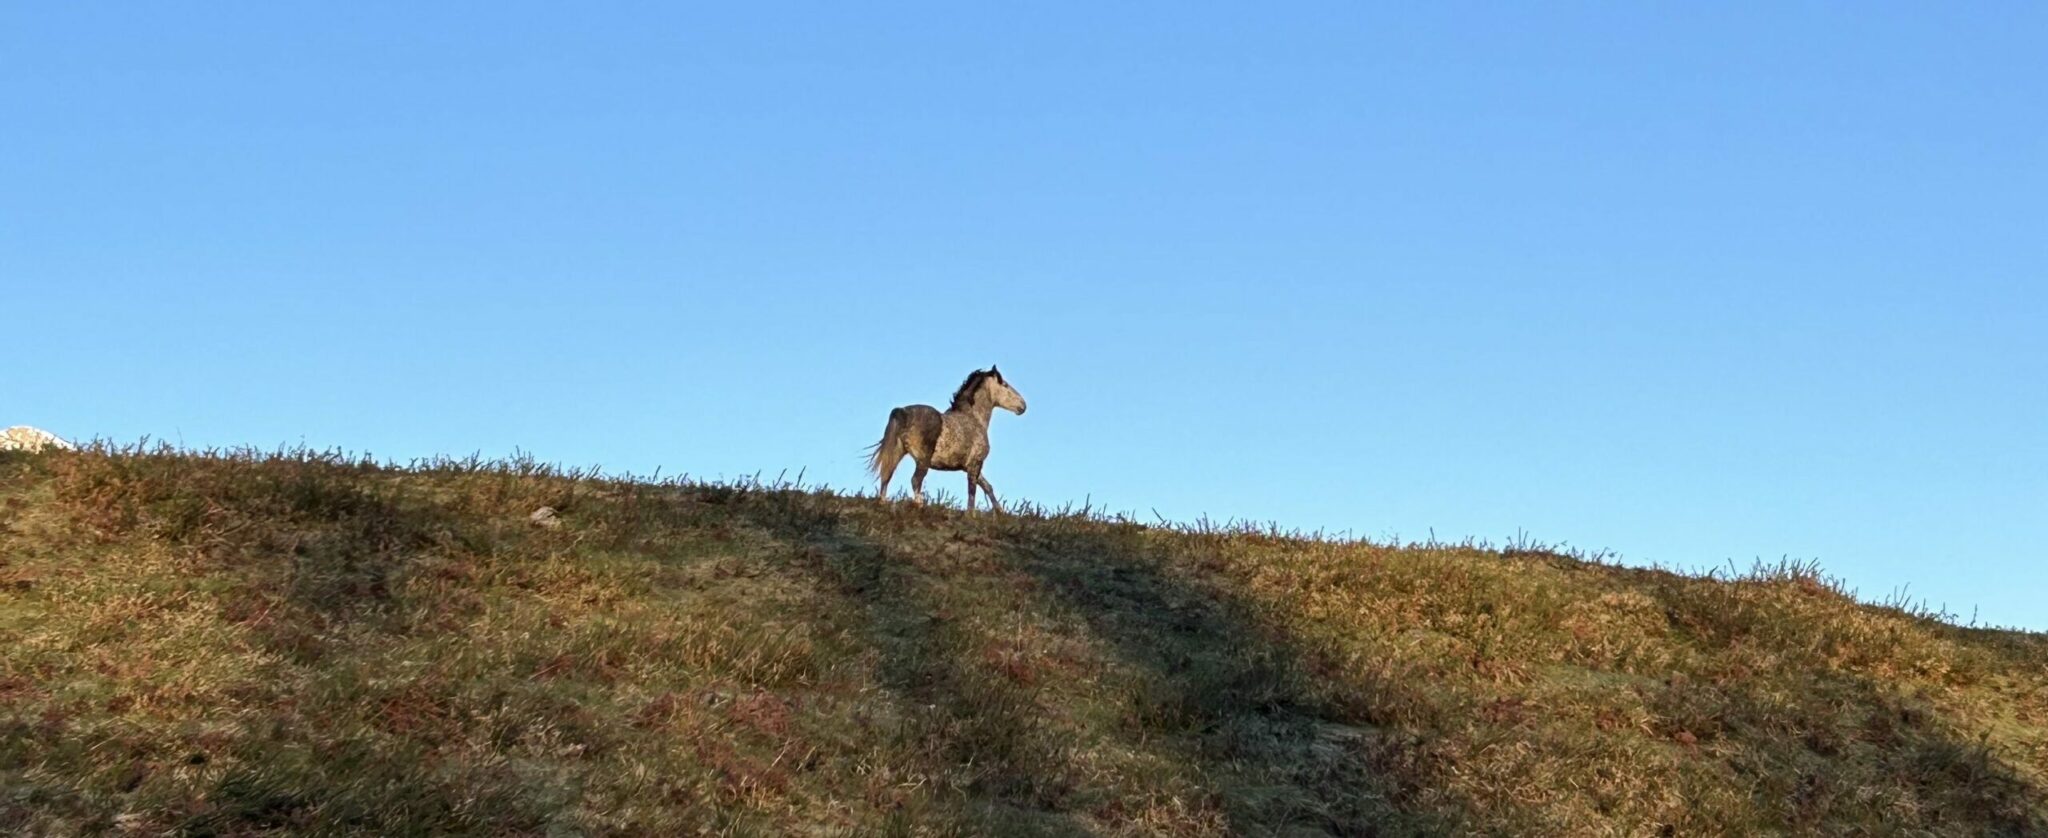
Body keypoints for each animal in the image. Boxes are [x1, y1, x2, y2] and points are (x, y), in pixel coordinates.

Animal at [864, 364, 1024, 510]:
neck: (973, 418)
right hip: (922, 460)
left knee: (886, 477)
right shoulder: (975, 464)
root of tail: (902, 412)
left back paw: (883, 504)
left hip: (897, 453)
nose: (1023, 405)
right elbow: (972, 494)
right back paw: (919, 506)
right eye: (1005, 384)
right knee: (915, 480)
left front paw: (1000, 513)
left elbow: (988, 487)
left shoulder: (968, 466)